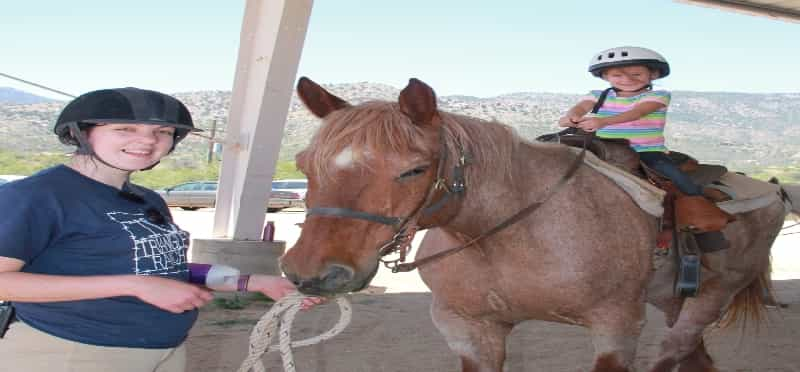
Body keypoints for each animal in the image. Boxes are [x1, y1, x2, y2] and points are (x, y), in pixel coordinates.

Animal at [278, 76, 796, 372]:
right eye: (305, 164)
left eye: (413, 169)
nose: (312, 272)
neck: (508, 233)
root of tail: (773, 190)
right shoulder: (468, 329)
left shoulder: (616, 328)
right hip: (674, 301)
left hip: (711, 298)